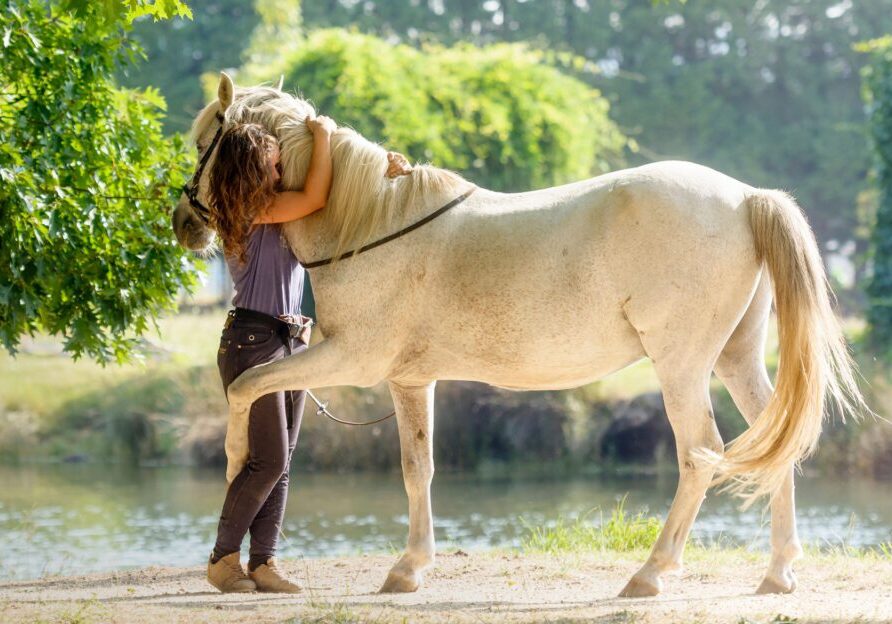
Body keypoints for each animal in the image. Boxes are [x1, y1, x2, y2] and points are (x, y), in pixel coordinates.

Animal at [172, 73, 866, 597]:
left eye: (206, 140)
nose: (183, 221)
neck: (370, 222)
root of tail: (746, 197)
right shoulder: (410, 380)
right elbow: (418, 469)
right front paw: (409, 568)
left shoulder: (351, 360)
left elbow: (247, 387)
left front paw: (233, 464)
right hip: (735, 359)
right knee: (775, 443)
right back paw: (777, 574)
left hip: (681, 366)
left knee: (699, 453)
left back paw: (650, 573)